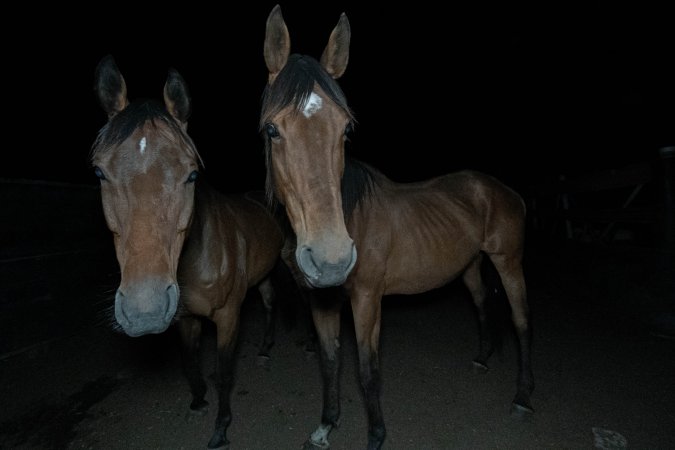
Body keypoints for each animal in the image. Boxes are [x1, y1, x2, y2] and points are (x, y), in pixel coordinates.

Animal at [91, 55, 284, 450]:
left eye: (192, 175)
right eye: (100, 172)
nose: (144, 310)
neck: (198, 261)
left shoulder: (228, 317)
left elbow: (224, 373)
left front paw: (221, 428)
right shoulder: (185, 318)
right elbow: (189, 362)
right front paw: (198, 399)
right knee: (270, 301)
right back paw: (265, 347)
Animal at [262, 4, 536, 450]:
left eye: (346, 129)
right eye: (272, 129)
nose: (331, 260)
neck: (350, 212)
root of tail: (502, 189)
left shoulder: (367, 300)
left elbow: (367, 370)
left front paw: (375, 435)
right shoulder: (323, 302)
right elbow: (330, 362)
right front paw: (326, 425)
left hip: (508, 261)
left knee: (522, 321)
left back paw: (523, 397)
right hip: (471, 264)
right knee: (482, 303)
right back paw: (482, 358)